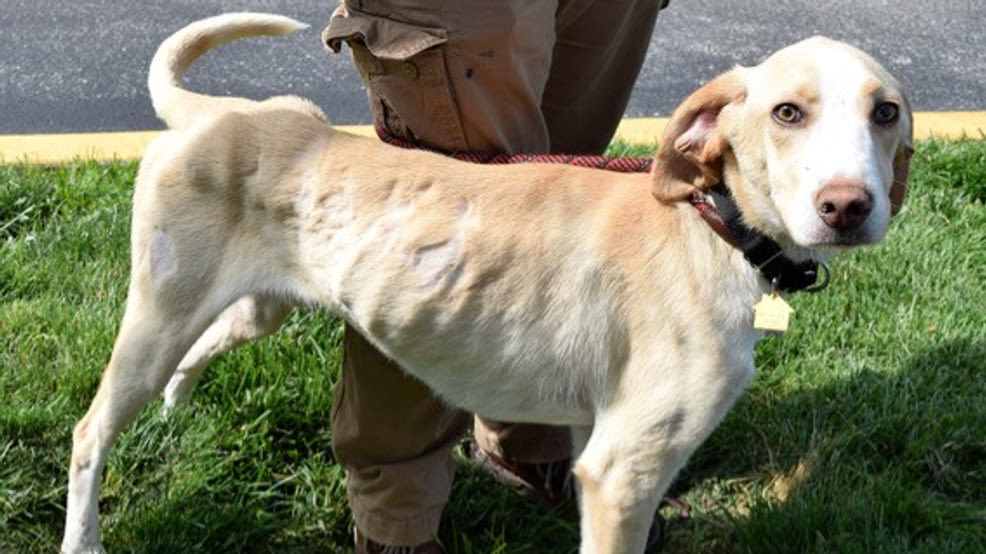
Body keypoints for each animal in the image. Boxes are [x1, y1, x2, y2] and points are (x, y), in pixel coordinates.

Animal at [59, 12, 908, 552]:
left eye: (887, 113)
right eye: (787, 112)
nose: (847, 207)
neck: (711, 227)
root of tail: (222, 113)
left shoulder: (590, 441)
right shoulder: (624, 473)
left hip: (254, 306)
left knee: (204, 345)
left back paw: (181, 396)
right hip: (156, 315)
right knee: (89, 433)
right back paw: (85, 538)